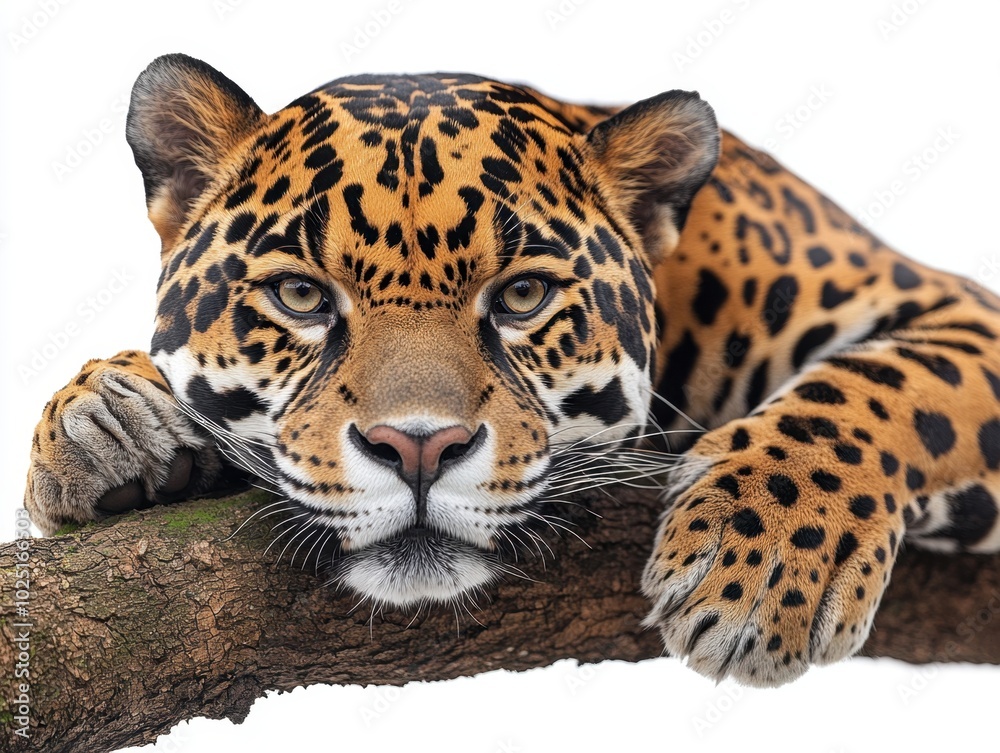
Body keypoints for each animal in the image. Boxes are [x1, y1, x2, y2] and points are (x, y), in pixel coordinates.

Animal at [23, 53, 1000, 687]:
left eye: (523, 294)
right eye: (300, 295)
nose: (418, 449)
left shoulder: (954, 309)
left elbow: (879, 389)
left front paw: (760, 566)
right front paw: (103, 420)